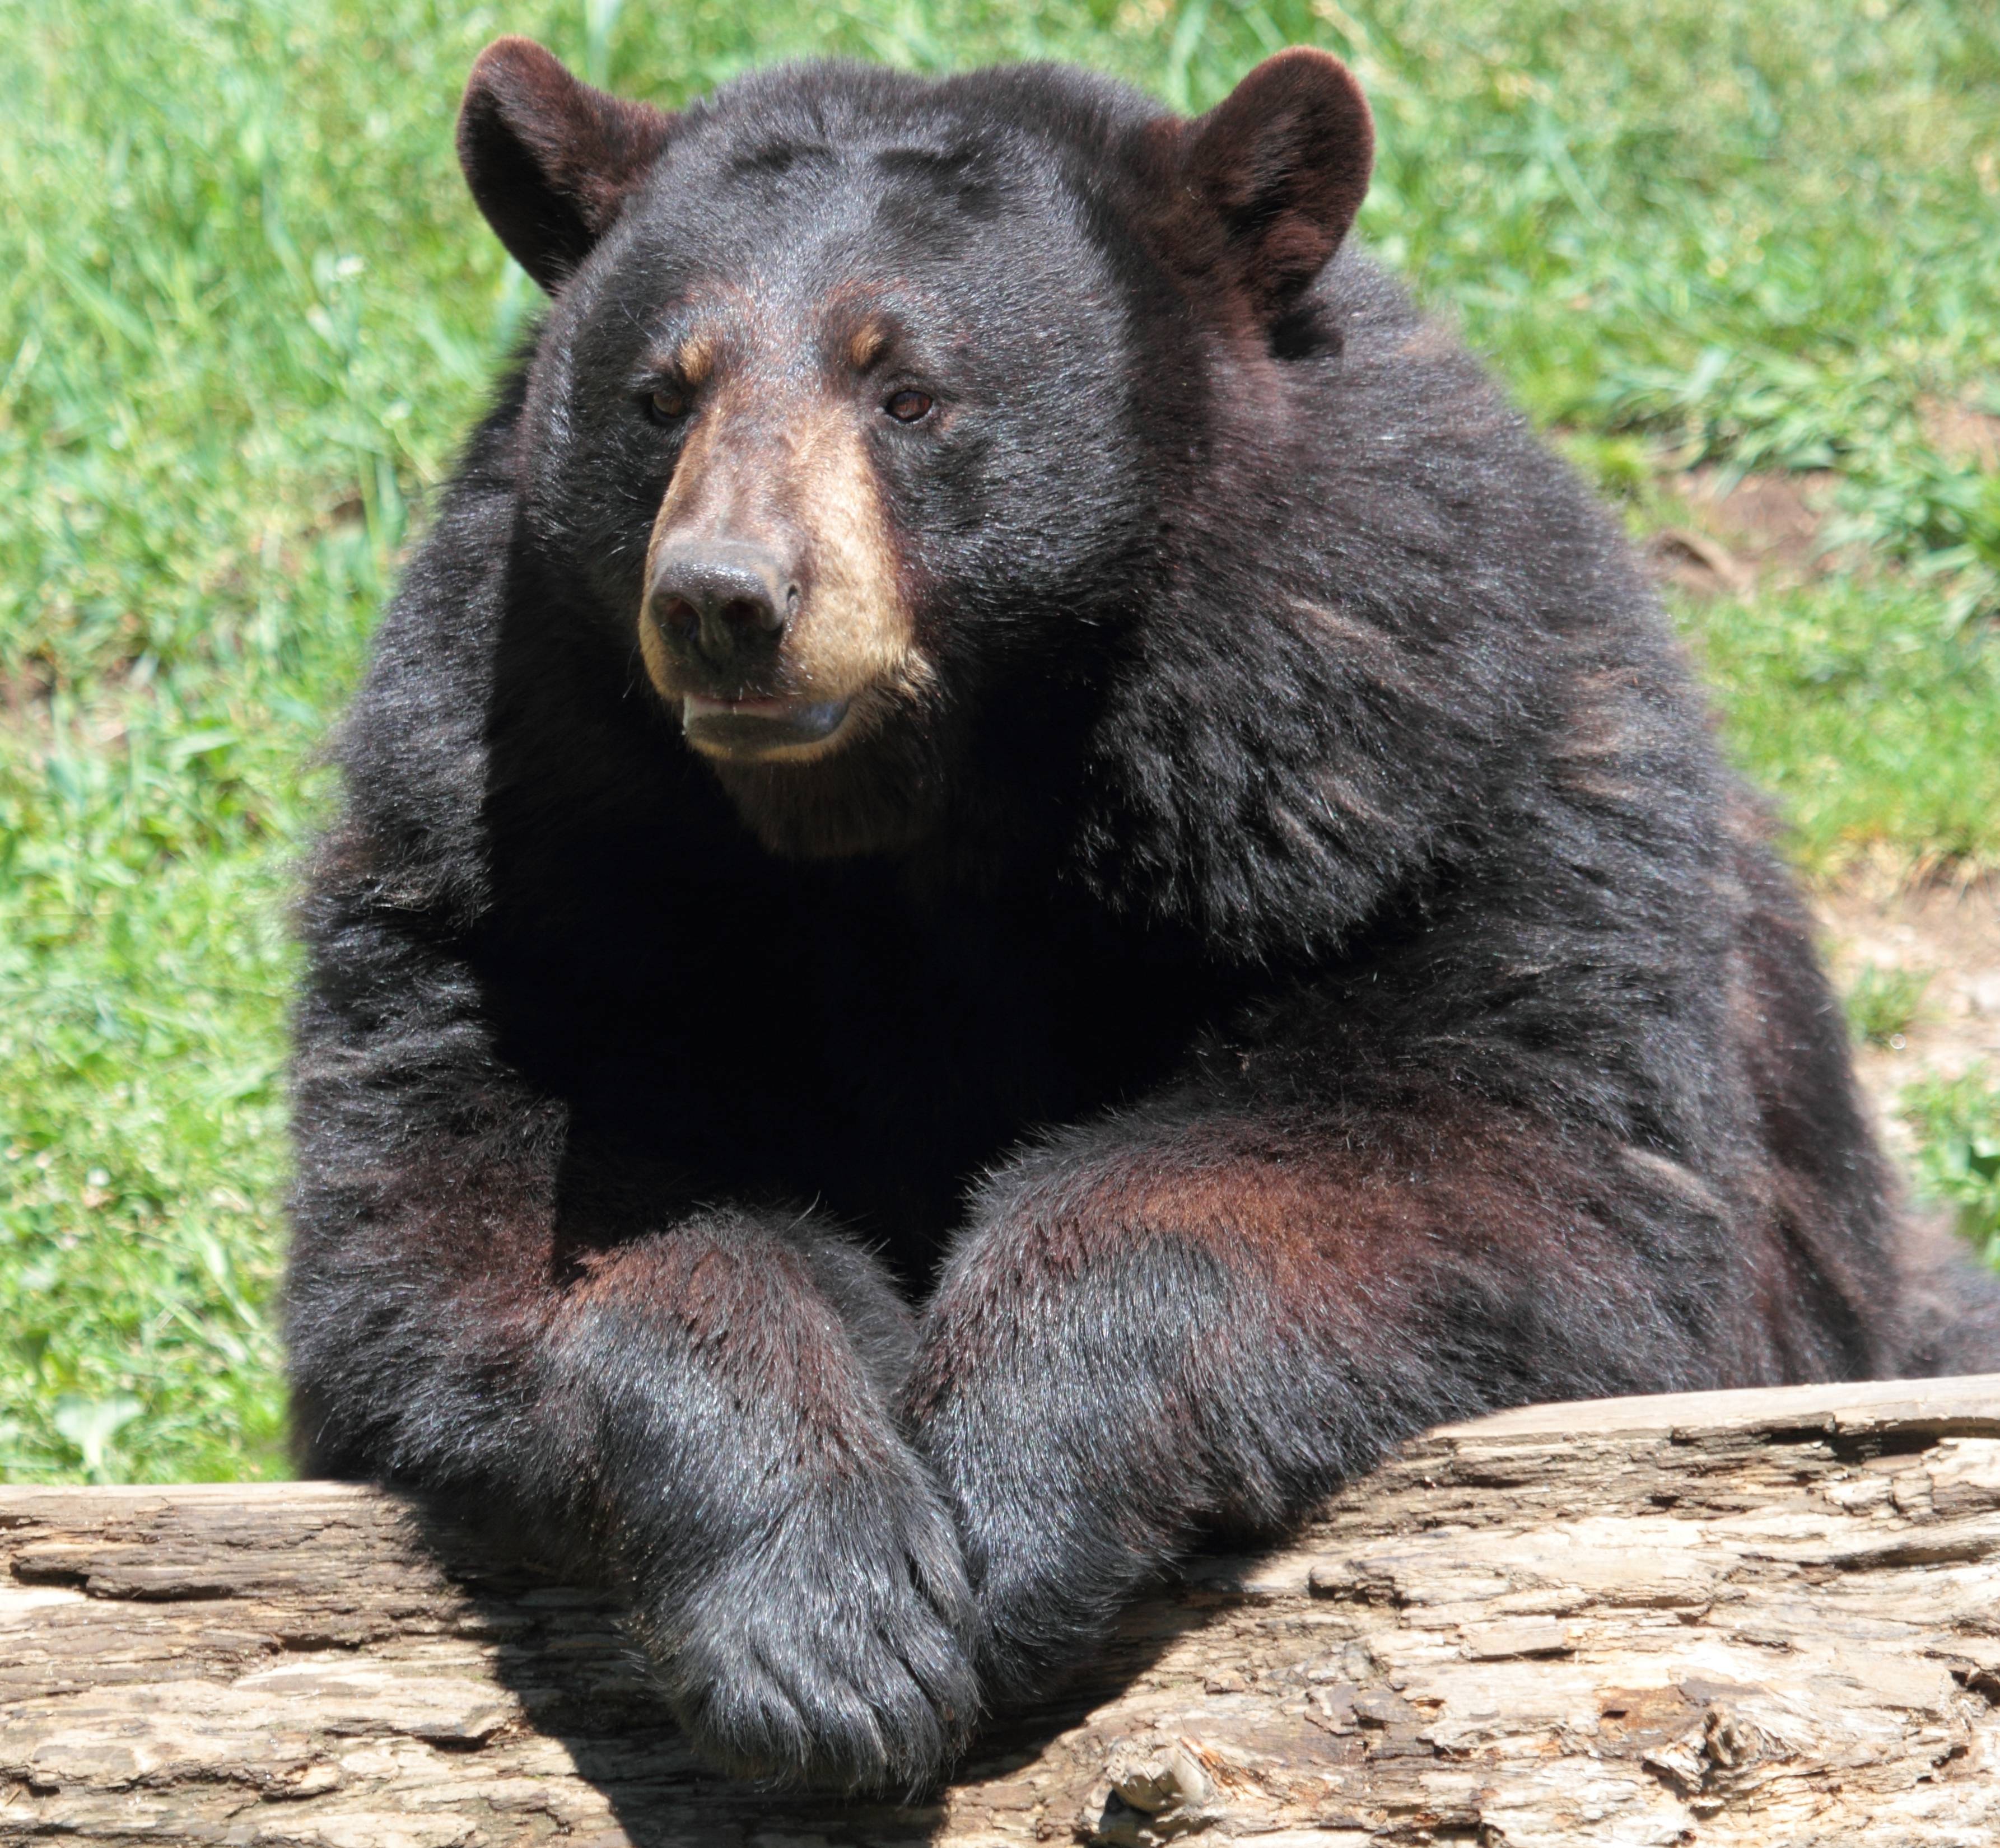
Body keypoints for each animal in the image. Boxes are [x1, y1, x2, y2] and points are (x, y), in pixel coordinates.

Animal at [282, 39, 2000, 1792]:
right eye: (663, 394)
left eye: (908, 391)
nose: (724, 599)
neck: (910, 825)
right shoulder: (533, 874)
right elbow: (481, 1213)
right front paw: (828, 1626)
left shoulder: (1428, 804)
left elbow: (1481, 1157)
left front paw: (1007, 1503)